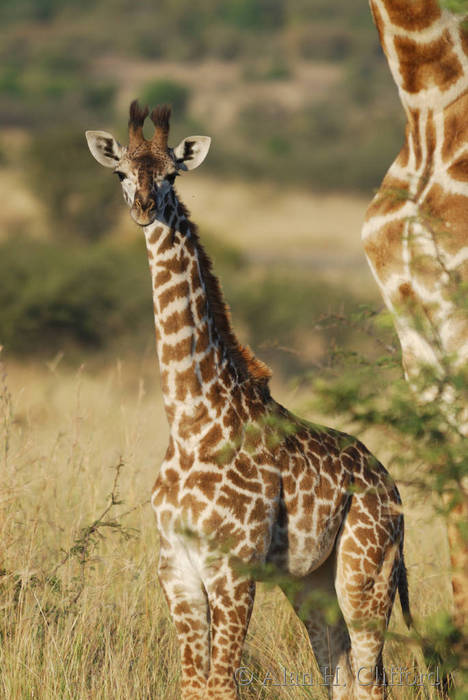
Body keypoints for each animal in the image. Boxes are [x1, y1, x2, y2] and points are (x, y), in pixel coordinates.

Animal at [87, 102, 410, 700]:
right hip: (312, 582)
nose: (144, 209)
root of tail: (391, 484)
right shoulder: (177, 570)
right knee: (342, 676)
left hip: (366, 571)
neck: (192, 422)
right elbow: (194, 685)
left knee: (372, 678)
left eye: (171, 176)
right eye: (121, 172)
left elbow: (221, 685)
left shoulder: (233, 570)